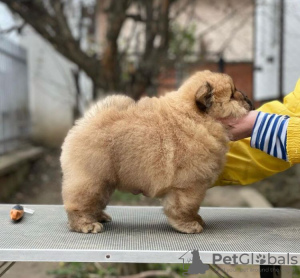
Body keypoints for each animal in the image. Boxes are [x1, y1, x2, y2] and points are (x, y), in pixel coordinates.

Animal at [61, 70, 253, 233]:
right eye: (232, 95)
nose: (247, 97)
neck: (195, 120)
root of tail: (87, 121)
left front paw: (196, 219)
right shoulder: (189, 186)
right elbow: (186, 207)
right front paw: (189, 224)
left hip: (105, 182)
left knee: (96, 203)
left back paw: (99, 216)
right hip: (92, 180)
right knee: (79, 204)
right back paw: (86, 224)